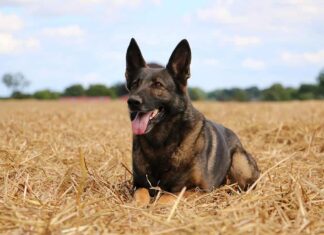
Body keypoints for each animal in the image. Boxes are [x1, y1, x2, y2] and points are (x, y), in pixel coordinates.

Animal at [124, 38, 260, 206]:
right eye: (134, 84)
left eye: (158, 85)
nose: (132, 101)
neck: (161, 142)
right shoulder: (138, 185)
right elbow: (141, 194)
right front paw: (139, 206)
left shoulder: (201, 190)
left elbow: (170, 195)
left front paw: (157, 205)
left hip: (239, 161)